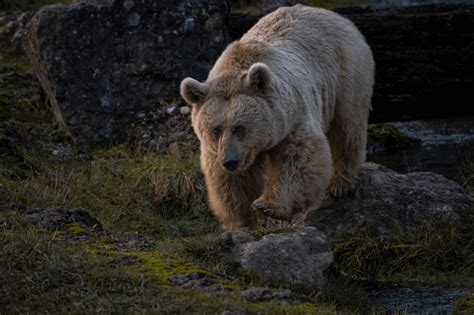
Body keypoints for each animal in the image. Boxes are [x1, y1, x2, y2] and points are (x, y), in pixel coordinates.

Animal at [181, 4, 374, 230]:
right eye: (215, 129)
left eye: (240, 127)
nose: (230, 161)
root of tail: (333, 14)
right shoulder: (219, 150)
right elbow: (232, 183)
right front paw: (241, 221)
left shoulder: (291, 118)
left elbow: (297, 159)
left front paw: (269, 206)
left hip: (346, 75)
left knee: (347, 127)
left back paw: (341, 183)